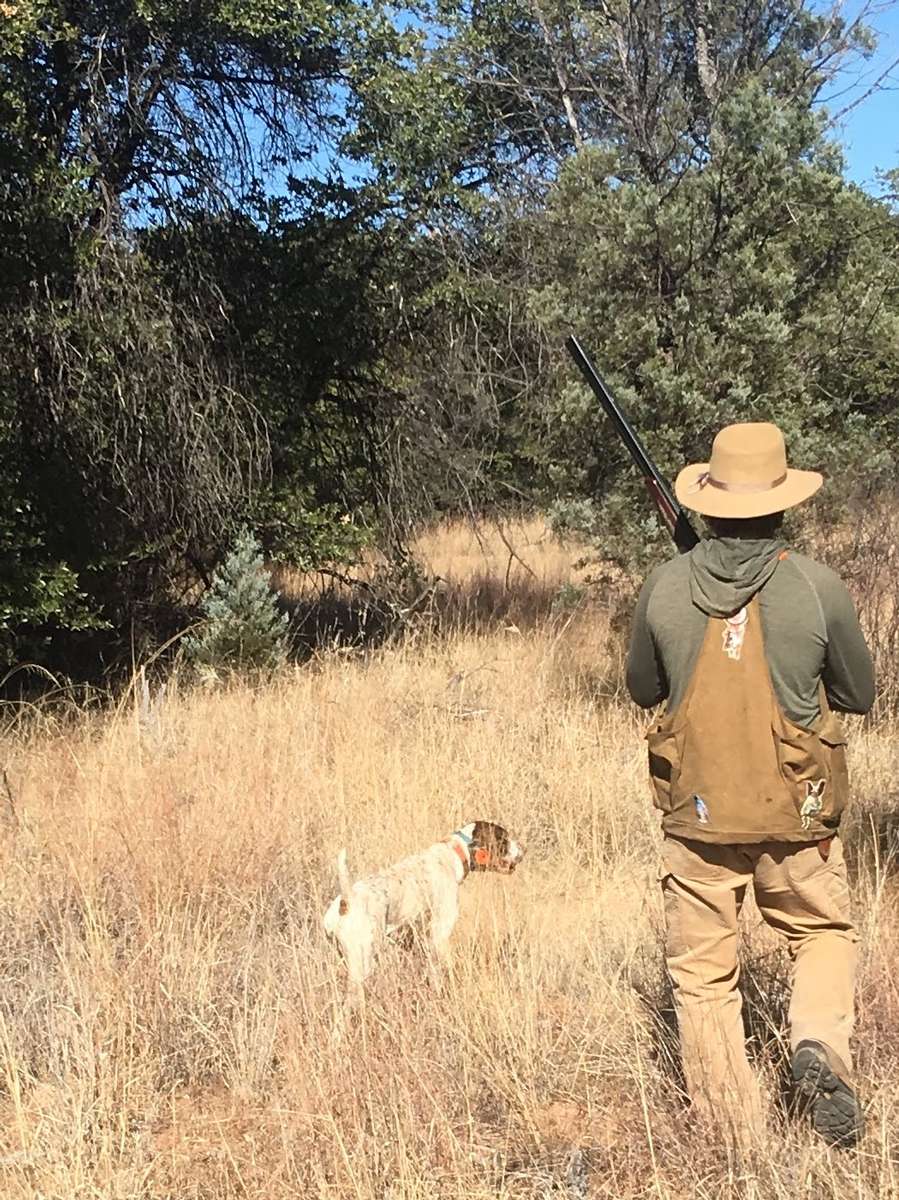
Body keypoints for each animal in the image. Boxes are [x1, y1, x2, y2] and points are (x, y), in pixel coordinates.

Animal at [321, 825, 523, 1022]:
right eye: (503, 838)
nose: (522, 851)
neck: (454, 852)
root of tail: (347, 901)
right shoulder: (439, 933)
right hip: (363, 963)